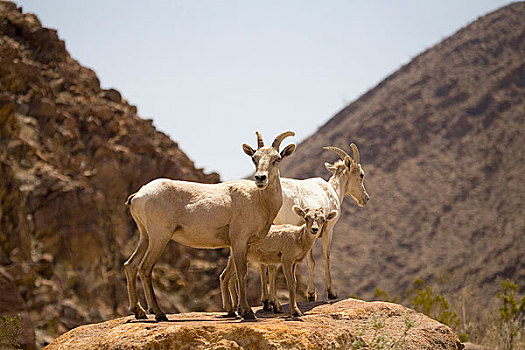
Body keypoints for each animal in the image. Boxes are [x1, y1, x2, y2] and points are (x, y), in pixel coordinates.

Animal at [124, 131, 294, 320]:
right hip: (159, 237)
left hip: (145, 237)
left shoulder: (239, 245)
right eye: (254, 158)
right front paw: (247, 312)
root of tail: (138, 196)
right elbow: (241, 273)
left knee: (130, 265)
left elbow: (232, 274)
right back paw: (159, 314)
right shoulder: (239, 241)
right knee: (145, 268)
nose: (260, 178)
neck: (260, 200)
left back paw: (139, 312)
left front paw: (236, 311)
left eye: (277, 159)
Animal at [260, 142, 368, 304]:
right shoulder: (328, 229)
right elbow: (325, 257)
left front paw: (311, 295)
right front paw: (330, 293)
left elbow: (310, 261)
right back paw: (273, 301)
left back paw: (267, 300)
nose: (365, 199)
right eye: (361, 174)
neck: (332, 191)